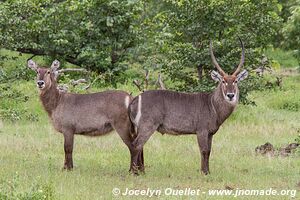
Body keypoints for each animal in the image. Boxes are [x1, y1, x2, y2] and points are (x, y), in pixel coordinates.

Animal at [129, 38, 248, 174]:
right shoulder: (201, 130)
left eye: (235, 81)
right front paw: (204, 172)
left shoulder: (210, 133)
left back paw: (141, 171)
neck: (212, 105)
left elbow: (209, 151)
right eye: (223, 81)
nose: (230, 95)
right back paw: (133, 172)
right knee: (136, 144)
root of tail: (135, 99)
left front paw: (208, 172)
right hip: (148, 125)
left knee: (139, 146)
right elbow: (203, 151)